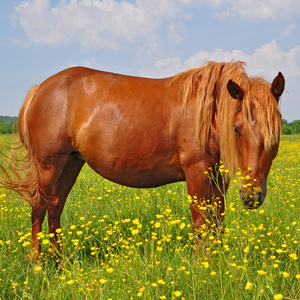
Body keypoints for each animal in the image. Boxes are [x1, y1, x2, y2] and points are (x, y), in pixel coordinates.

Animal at [1, 59, 284, 258]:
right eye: (237, 128)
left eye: (276, 129)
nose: (251, 196)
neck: (209, 115)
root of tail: (40, 89)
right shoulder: (197, 174)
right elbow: (201, 223)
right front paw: (201, 267)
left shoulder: (217, 179)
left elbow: (217, 223)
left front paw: (216, 264)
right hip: (49, 164)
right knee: (39, 208)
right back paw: (38, 264)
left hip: (71, 162)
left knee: (55, 207)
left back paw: (60, 263)